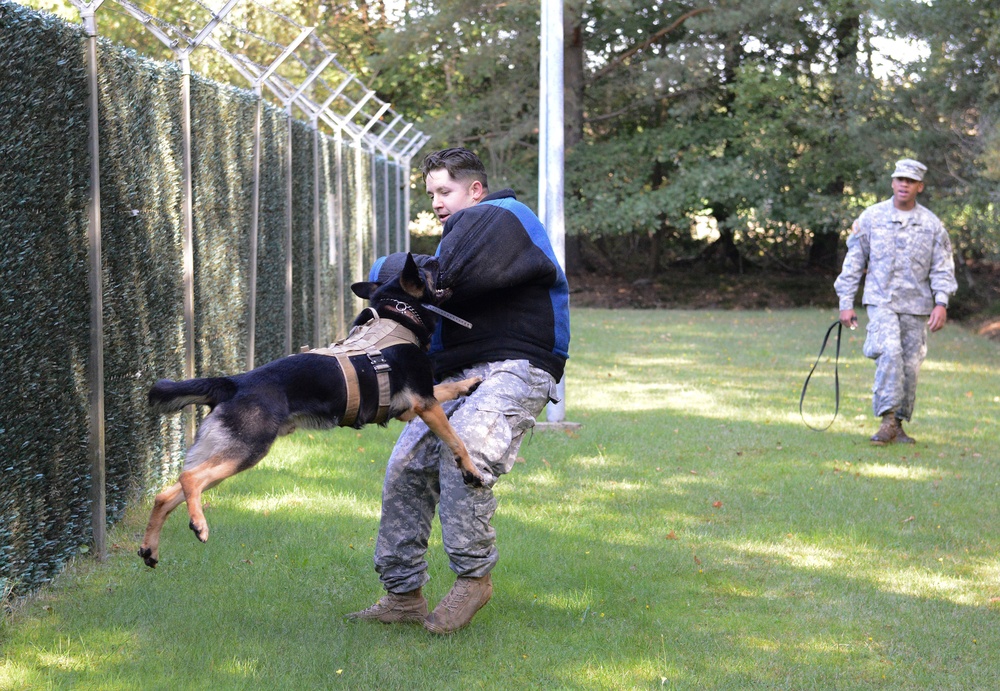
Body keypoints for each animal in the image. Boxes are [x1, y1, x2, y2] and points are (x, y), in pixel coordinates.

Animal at [139, 254, 482, 568]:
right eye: (429, 268)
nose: (440, 259)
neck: (398, 317)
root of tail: (233, 383)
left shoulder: (413, 407)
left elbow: (448, 389)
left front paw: (470, 383)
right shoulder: (424, 404)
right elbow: (456, 440)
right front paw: (471, 470)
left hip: (222, 453)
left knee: (165, 495)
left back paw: (150, 549)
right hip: (247, 450)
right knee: (189, 478)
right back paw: (199, 525)